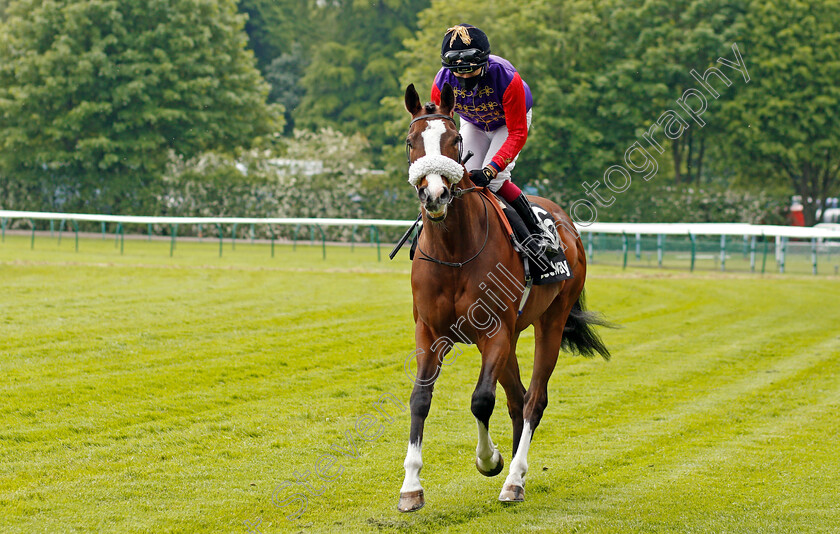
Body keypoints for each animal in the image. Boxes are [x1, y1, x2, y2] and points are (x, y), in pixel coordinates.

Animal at [400, 81, 612, 512]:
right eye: (412, 142)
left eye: (454, 140)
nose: (435, 194)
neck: (454, 251)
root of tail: (565, 223)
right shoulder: (430, 331)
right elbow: (420, 398)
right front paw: (411, 486)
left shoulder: (493, 330)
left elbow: (481, 400)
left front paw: (490, 459)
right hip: (513, 336)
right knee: (517, 398)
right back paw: (518, 470)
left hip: (551, 321)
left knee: (534, 399)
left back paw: (514, 477)